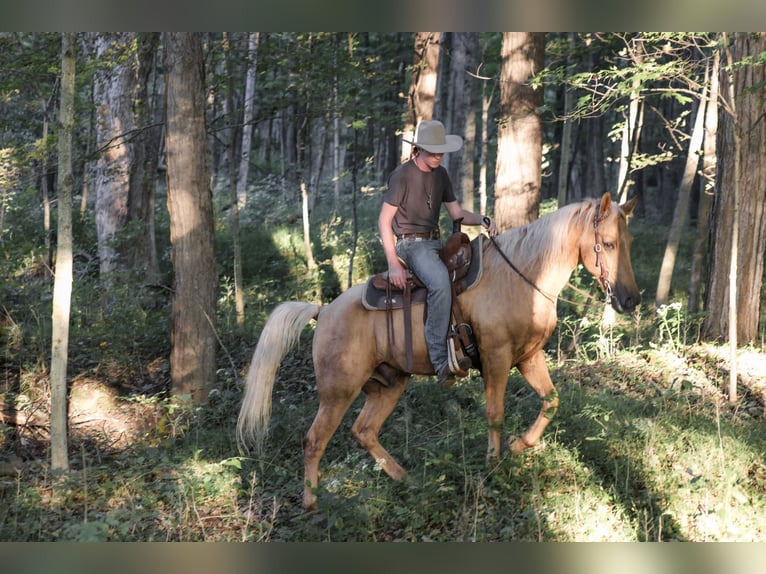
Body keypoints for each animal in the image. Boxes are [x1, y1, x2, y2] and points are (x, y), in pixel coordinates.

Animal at [237, 192, 640, 510]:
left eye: (628, 241)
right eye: (606, 243)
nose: (630, 300)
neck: (522, 277)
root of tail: (323, 311)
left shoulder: (528, 357)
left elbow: (551, 401)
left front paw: (516, 446)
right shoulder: (496, 358)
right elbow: (495, 412)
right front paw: (494, 464)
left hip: (389, 383)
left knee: (363, 431)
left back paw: (404, 478)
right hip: (338, 391)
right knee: (314, 440)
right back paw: (312, 502)